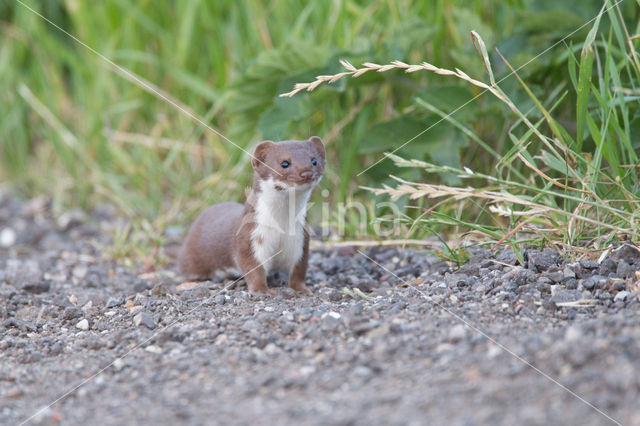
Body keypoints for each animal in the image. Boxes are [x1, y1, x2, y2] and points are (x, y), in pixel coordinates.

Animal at [178, 136, 324, 292]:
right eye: (284, 163)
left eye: (314, 160)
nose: (307, 173)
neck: (282, 224)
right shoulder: (250, 237)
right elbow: (254, 268)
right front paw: (263, 290)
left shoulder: (300, 241)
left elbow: (299, 269)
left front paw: (302, 289)